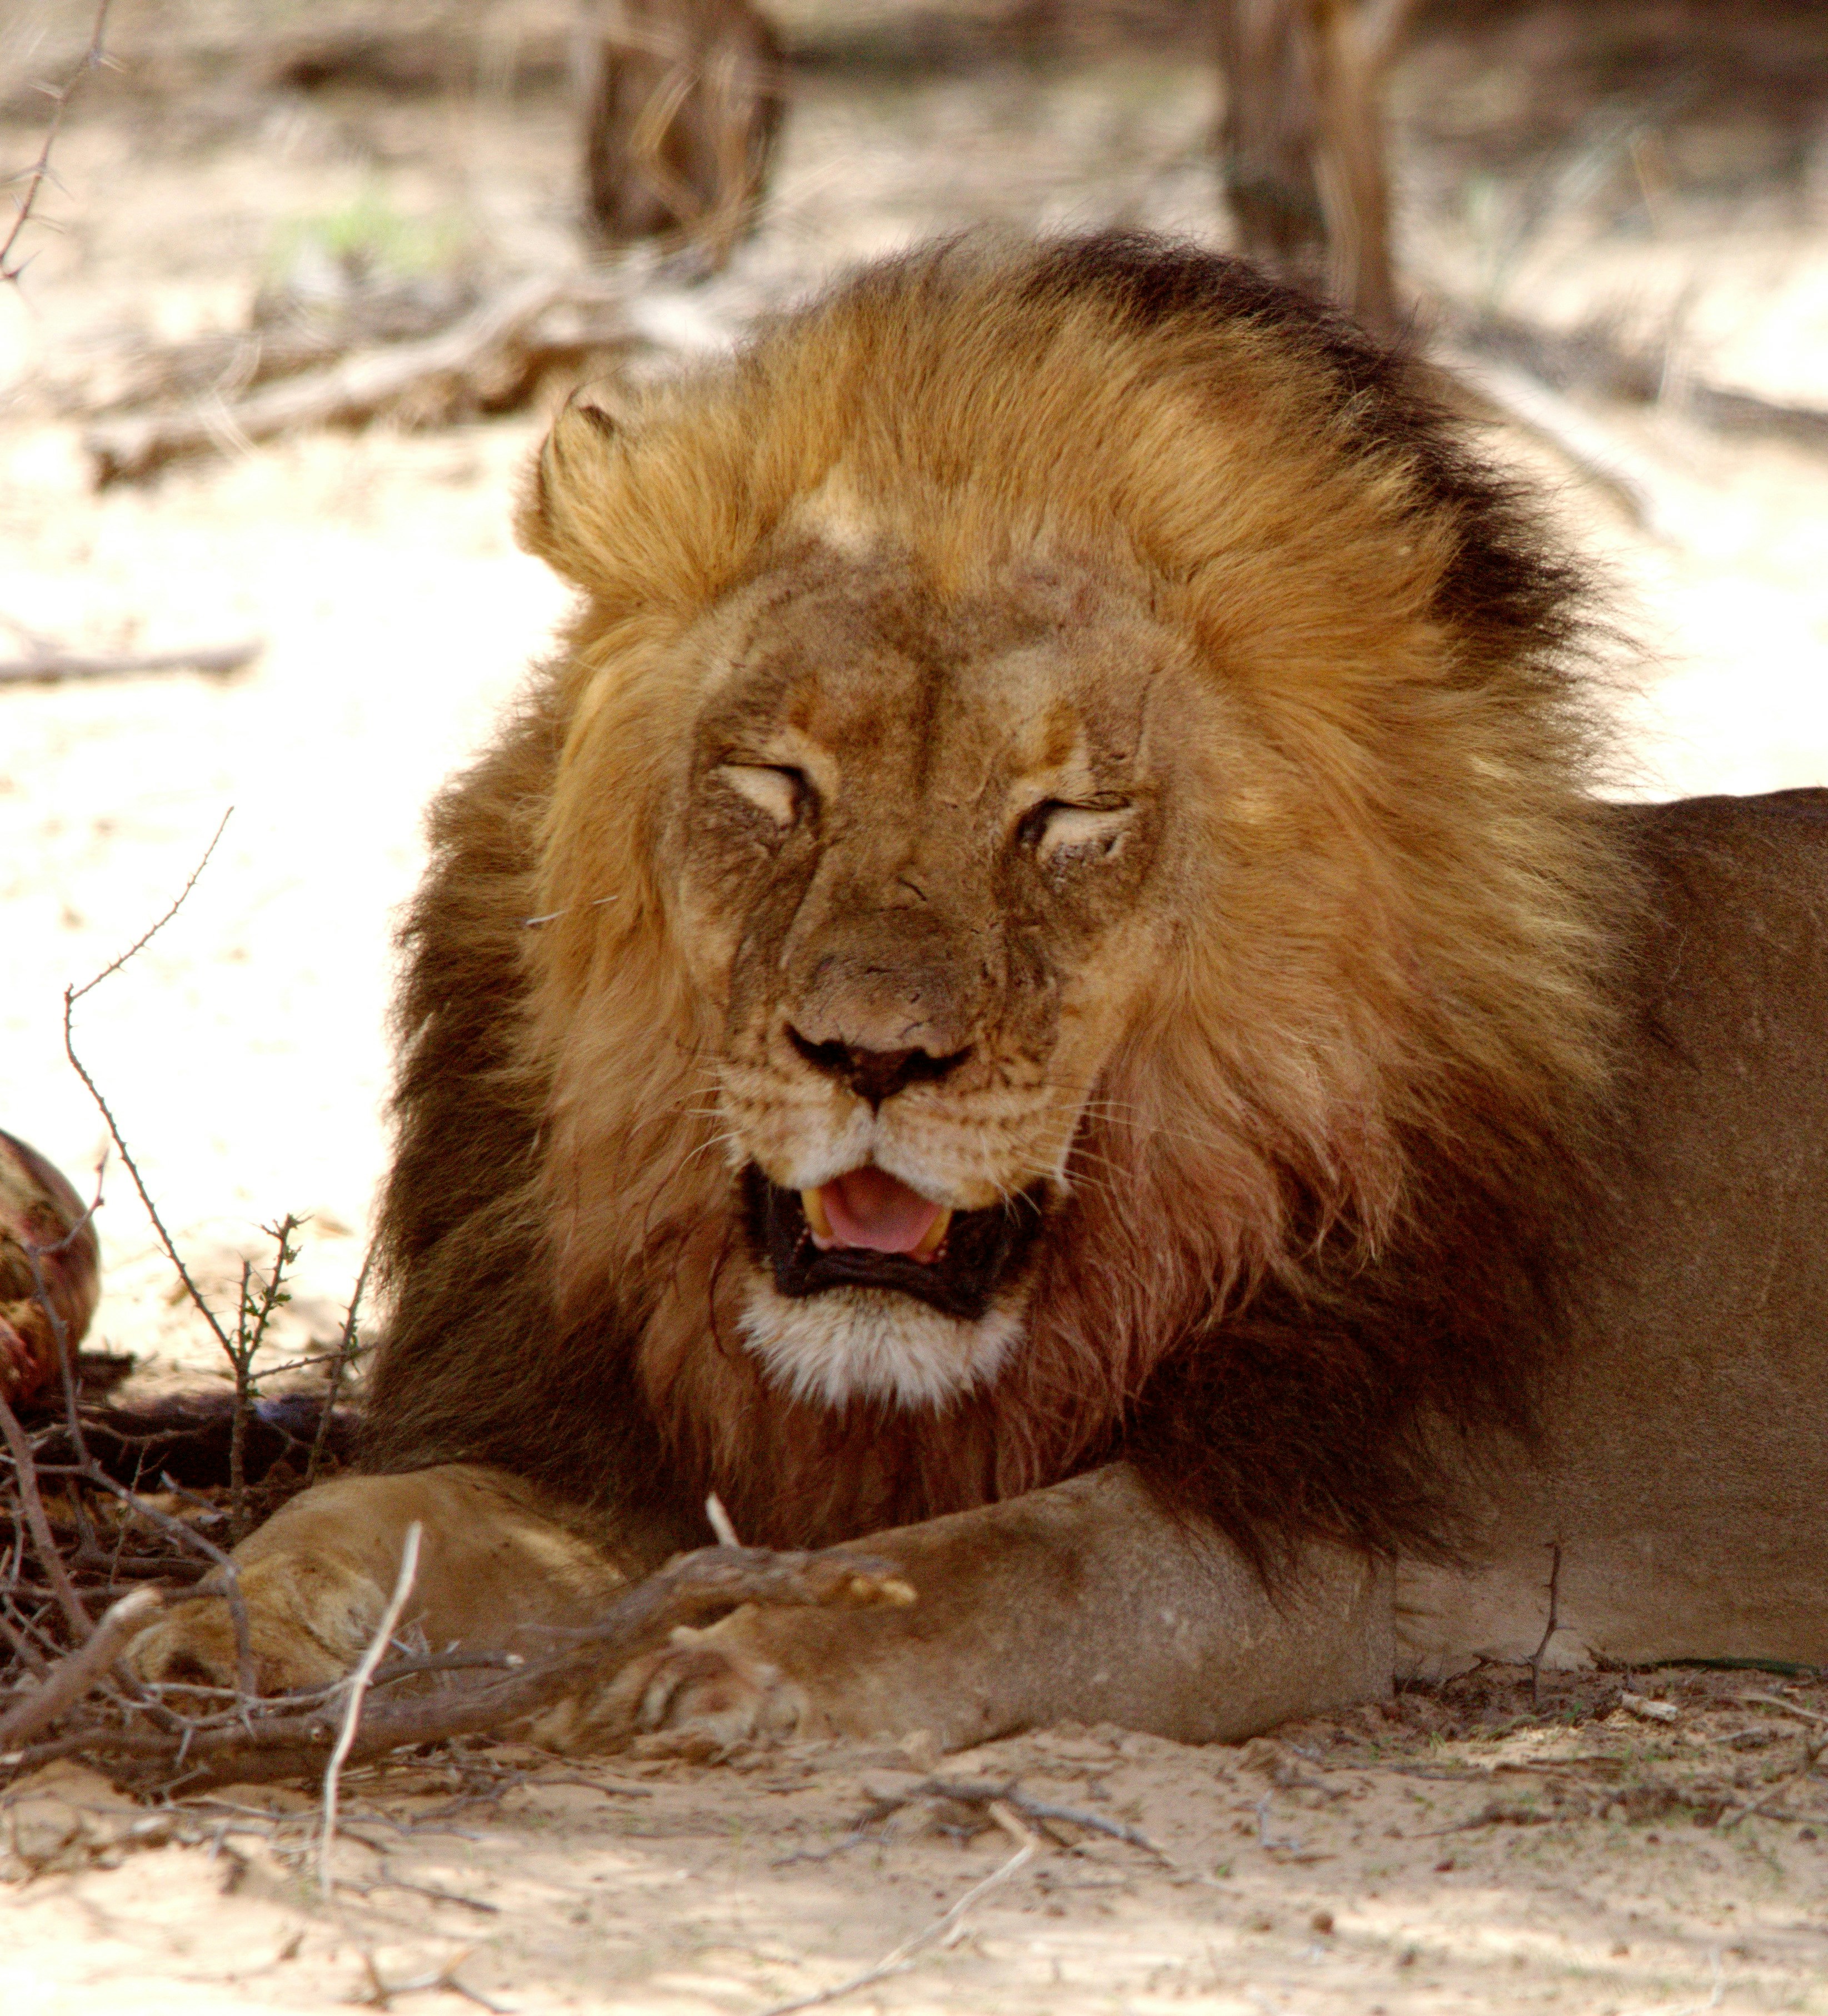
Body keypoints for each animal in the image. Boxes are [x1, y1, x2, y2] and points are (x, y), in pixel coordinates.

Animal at [131, 233, 1828, 1748]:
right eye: (778, 782)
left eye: (1066, 819)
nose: (872, 1057)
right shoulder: (644, 1455)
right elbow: (386, 1514)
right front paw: (213, 1625)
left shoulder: (1282, 1539)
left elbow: (995, 1570)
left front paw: (743, 1663)